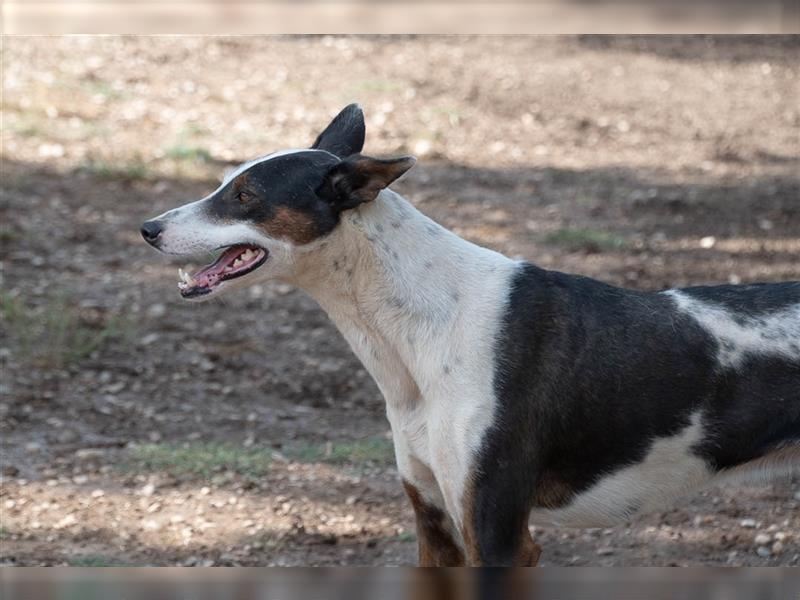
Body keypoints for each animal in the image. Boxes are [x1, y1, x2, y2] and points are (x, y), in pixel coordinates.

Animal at [144, 103, 800, 568]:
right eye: (225, 183)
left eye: (245, 196)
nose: (148, 228)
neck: (422, 328)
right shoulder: (433, 521)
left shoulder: (498, 534)